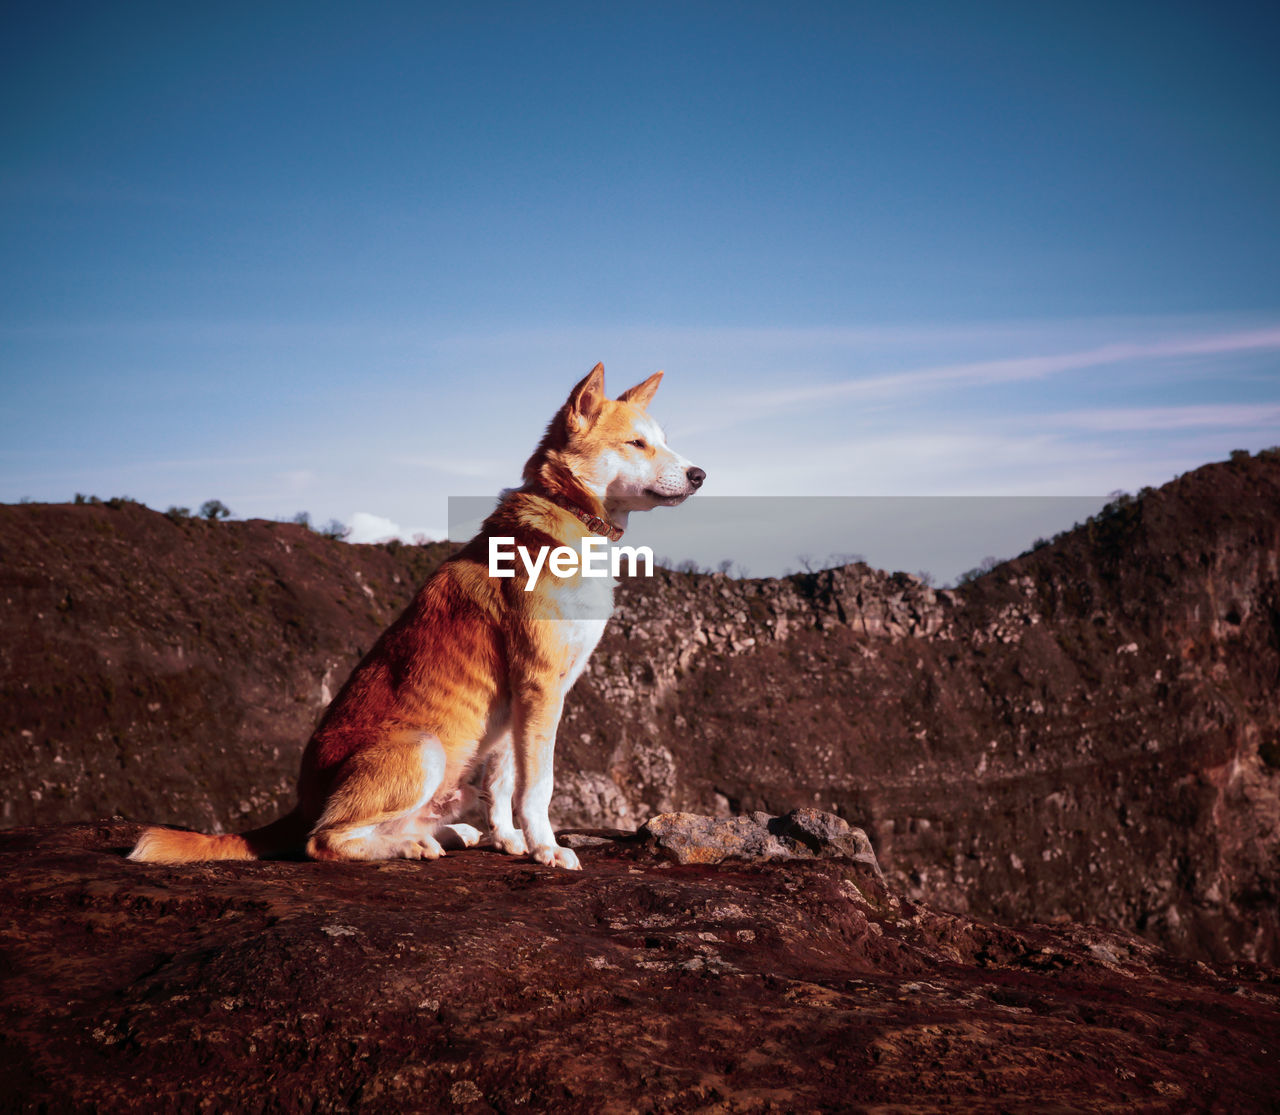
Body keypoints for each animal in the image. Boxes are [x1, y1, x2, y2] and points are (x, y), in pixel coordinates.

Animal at [128, 366, 706, 870]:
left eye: (663, 441)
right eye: (637, 444)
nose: (700, 474)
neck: (568, 517)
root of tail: (300, 802)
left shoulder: (518, 704)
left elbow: (503, 786)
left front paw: (510, 841)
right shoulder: (540, 687)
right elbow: (536, 786)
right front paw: (546, 847)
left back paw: (442, 834)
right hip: (423, 749)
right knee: (323, 840)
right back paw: (407, 846)